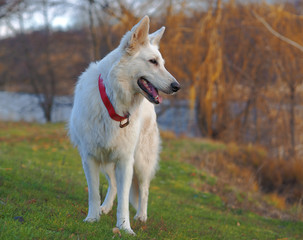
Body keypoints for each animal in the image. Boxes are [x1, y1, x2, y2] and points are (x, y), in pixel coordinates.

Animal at [68, 15, 180, 234]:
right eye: (153, 62)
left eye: (161, 63)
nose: (176, 86)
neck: (113, 104)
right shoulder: (90, 158)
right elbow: (94, 193)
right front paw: (92, 218)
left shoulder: (126, 160)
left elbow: (124, 201)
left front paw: (125, 227)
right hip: (108, 161)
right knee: (113, 185)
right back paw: (104, 208)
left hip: (142, 162)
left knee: (144, 190)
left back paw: (141, 216)